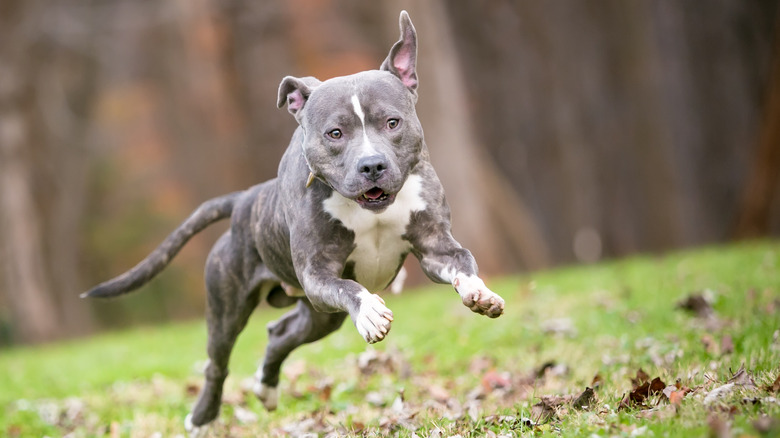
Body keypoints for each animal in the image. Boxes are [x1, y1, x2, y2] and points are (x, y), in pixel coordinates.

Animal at [84, 11, 506, 434]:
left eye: (392, 122)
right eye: (335, 133)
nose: (371, 165)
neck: (370, 209)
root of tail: (245, 199)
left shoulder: (435, 246)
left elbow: (462, 260)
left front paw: (479, 292)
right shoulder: (318, 274)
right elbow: (349, 287)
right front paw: (370, 311)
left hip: (319, 317)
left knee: (279, 334)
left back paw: (267, 388)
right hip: (229, 309)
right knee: (217, 364)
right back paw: (203, 418)